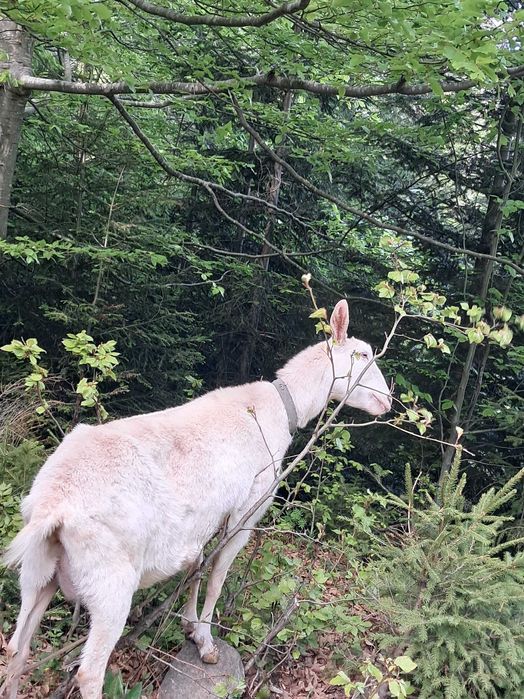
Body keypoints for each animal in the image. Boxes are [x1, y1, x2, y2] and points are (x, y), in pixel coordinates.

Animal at [0, 300, 392, 699]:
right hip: (110, 580)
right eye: (363, 354)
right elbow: (218, 573)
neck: (282, 408)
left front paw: (188, 625)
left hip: (37, 571)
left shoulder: (203, 520)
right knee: (89, 672)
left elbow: (197, 566)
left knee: (18, 649)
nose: (387, 401)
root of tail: (52, 506)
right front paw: (206, 642)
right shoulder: (247, 508)